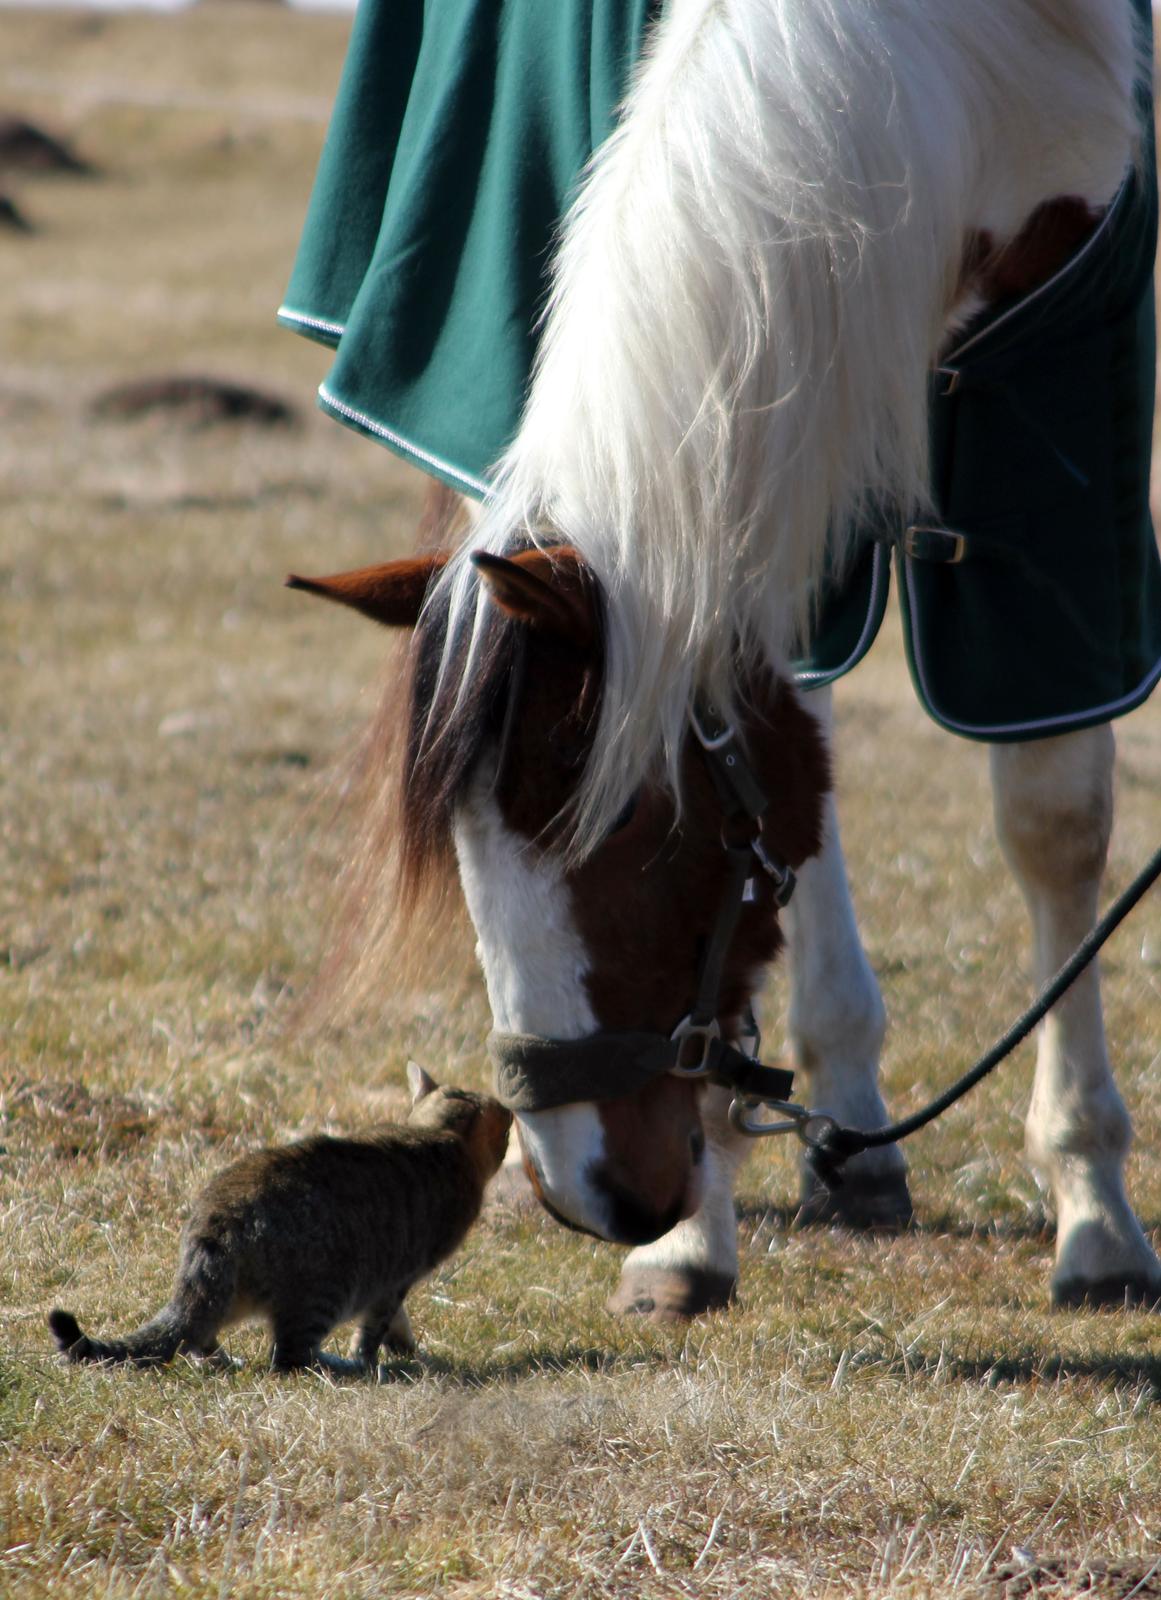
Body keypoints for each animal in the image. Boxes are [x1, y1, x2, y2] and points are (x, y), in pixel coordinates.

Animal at [48, 1062, 514, 1376]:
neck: (440, 1134)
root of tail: (217, 1222)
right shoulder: (397, 1278)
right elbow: (374, 1330)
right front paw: (373, 1360)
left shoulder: (393, 1283)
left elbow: (394, 1322)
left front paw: (404, 1349)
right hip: (325, 1290)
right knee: (288, 1358)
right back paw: (335, 1366)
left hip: (230, 1297)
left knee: (197, 1335)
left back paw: (223, 1360)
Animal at [286, 0, 1157, 1318]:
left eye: (637, 829)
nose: (588, 1194)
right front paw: (695, 1236)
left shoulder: (1062, 401)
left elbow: (1054, 821)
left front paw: (1095, 1204)